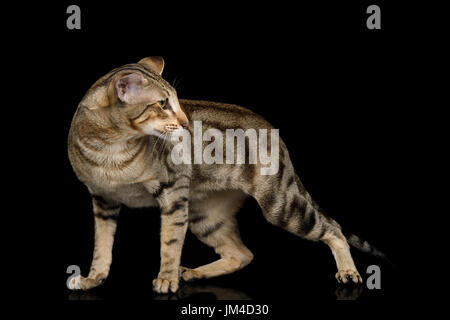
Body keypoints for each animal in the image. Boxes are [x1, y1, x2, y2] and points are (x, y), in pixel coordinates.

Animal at [67, 57, 384, 292]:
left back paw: (348, 271)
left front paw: (166, 279)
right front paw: (93, 278)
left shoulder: (173, 193)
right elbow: (102, 246)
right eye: (162, 104)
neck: (109, 149)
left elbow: (169, 242)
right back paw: (194, 273)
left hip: (279, 205)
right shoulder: (103, 200)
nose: (185, 122)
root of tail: (273, 131)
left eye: (177, 101)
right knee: (242, 254)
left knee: (333, 229)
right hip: (205, 216)